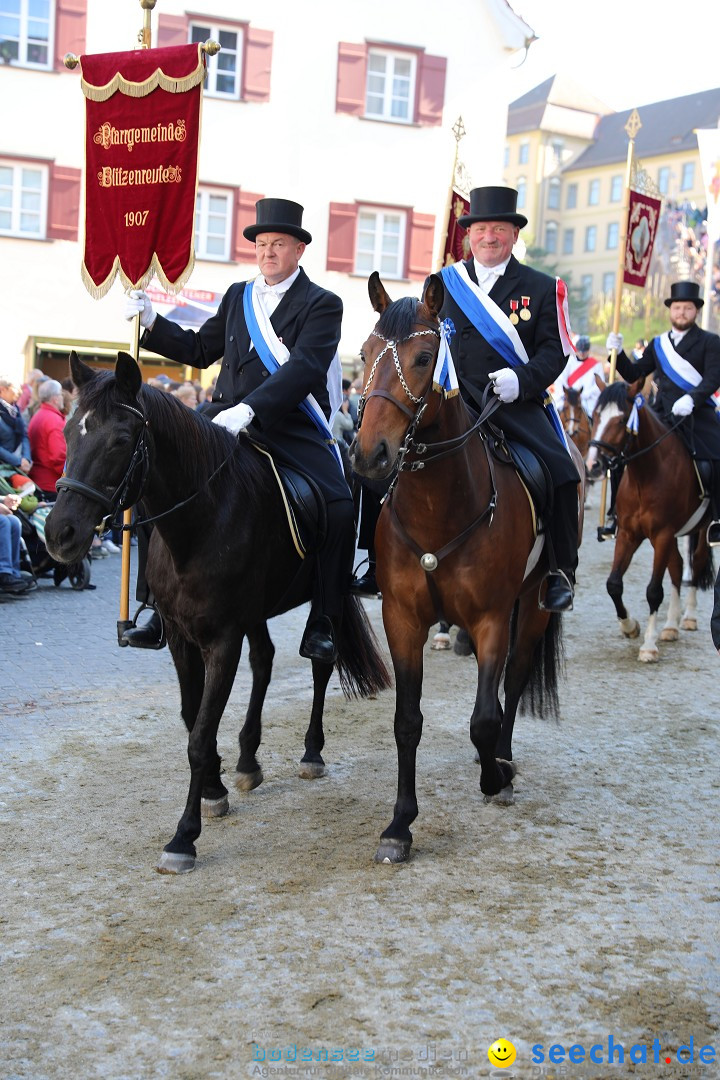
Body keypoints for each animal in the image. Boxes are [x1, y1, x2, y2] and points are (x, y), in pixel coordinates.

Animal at [45, 354, 390, 876]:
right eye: (67, 431)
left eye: (121, 440)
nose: (59, 534)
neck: (200, 519)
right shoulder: (182, 637)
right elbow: (194, 720)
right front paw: (214, 785)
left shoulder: (222, 639)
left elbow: (200, 732)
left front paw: (183, 837)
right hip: (256, 612)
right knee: (265, 660)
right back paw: (248, 760)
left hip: (319, 602)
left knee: (320, 661)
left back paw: (311, 751)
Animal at [347, 274, 578, 864]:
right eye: (364, 354)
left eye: (425, 357)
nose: (369, 456)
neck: (439, 504)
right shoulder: (403, 620)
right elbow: (407, 721)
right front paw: (399, 825)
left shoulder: (491, 619)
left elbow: (483, 718)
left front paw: (497, 777)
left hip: (534, 604)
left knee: (514, 681)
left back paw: (502, 758)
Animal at [587, 380, 716, 665]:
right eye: (595, 416)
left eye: (621, 419)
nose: (592, 465)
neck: (645, 475)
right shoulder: (628, 534)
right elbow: (613, 584)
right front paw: (630, 626)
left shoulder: (663, 535)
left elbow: (654, 590)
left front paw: (648, 645)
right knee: (678, 567)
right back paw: (670, 626)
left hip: (701, 529)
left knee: (697, 562)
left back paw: (688, 617)